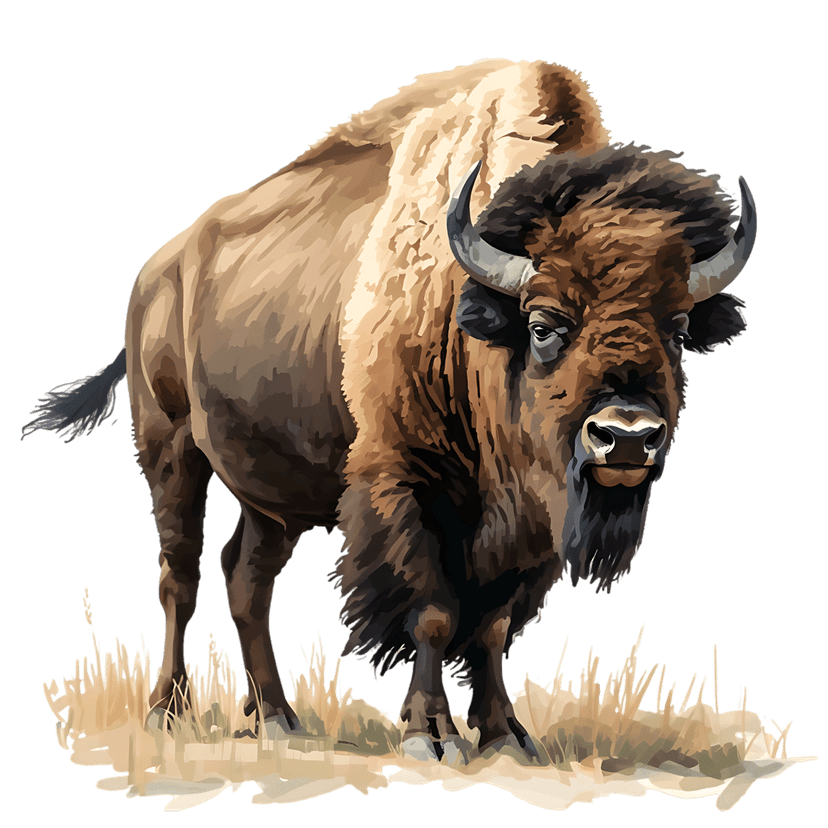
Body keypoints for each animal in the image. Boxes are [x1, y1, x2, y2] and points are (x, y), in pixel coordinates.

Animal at [22, 59, 755, 760]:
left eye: (679, 329)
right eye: (545, 325)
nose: (626, 438)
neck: (469, 314)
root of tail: (157, 271)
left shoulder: (529, 519)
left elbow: (493, 626)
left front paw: (506, 735)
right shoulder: (404, 483)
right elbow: (431, 610)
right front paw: (430, 734)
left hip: (272, 499)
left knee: (246, 581)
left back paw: (277, 719)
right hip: (171, 450)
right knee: (182, 576)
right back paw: (168, 713)